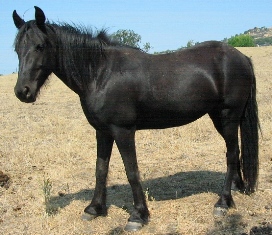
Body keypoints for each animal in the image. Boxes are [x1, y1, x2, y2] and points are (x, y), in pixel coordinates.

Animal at [12, 6, 260, 230]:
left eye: (40, 46)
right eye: (16, 48)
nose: (23, 92)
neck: (100, 73)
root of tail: (242, 57)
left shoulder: (123, 131)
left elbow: (131, 171)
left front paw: (138, 216)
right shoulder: (102, 131)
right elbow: (100, 169)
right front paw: (94, 209)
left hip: (228, 117)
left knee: (231, 154)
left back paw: (223, 202)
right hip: (219, 118)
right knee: (234, 152)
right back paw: (236, 189)